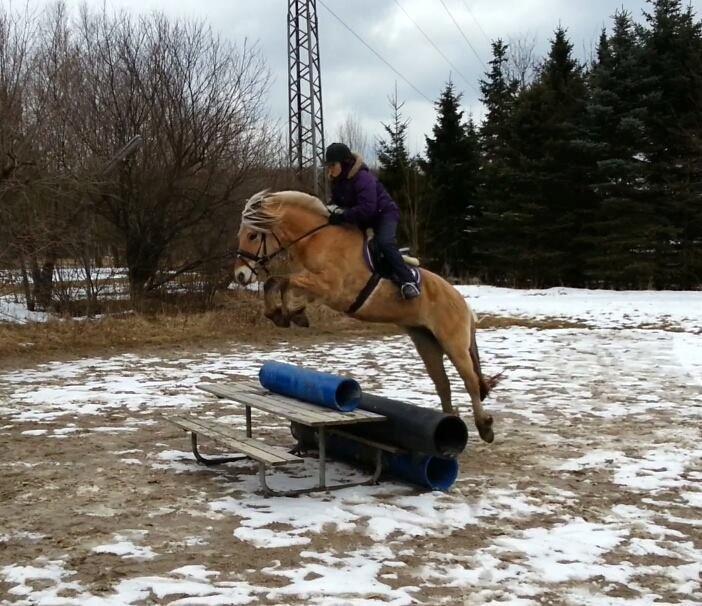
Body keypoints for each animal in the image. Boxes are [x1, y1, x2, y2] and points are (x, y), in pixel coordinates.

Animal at [234, 192, 498, 444]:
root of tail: (462, 302)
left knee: (470, 381)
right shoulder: (317, 286)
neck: (318, 238)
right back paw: (450, 426)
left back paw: (484, 427)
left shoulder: (329, 287)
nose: (240, 275)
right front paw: (285, 315)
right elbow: (276, 282)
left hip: (453, 343)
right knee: (443, 384)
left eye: (253, 236)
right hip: (426, 342)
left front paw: (291, 313)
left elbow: (285, 282)